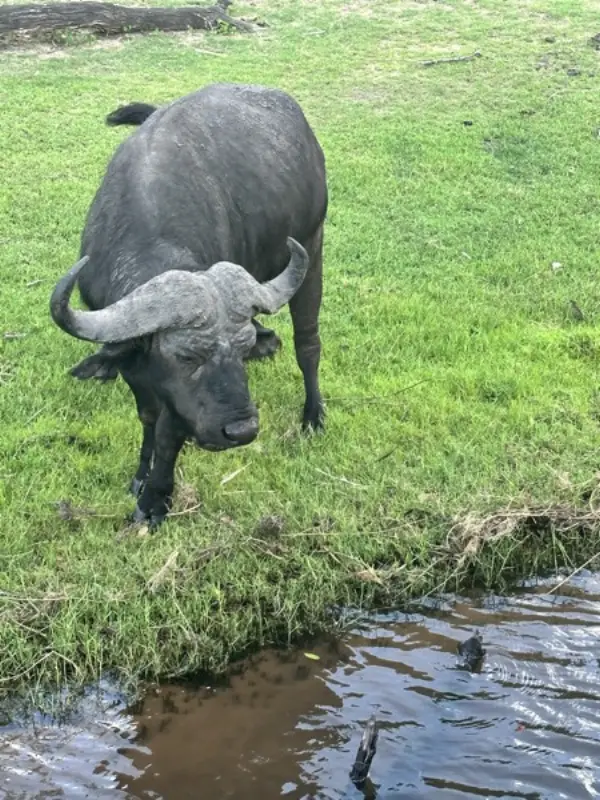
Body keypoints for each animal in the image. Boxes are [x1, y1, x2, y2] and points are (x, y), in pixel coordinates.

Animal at [50, 83, 328, 527]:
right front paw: (140, 475)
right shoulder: (131, 360)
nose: (241, 431)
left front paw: (154, 500)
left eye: (241, 350)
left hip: (313, 246)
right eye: (185, 357)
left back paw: (313, 415)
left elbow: (169, 429)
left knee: (308, 344)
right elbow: (146, 413)